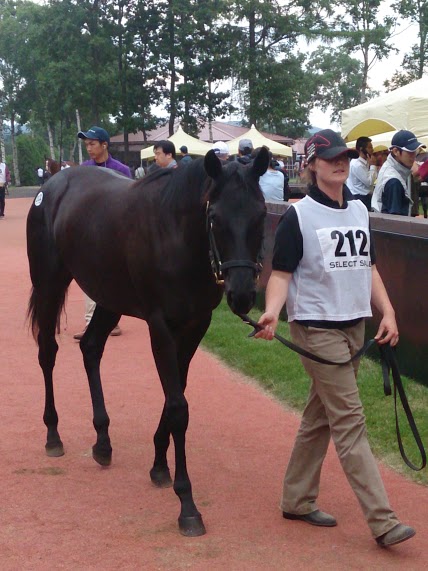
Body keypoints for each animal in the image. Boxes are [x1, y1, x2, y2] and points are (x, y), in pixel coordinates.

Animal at [25, 147, 268, 536]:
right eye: (215, 217)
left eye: (261, 214)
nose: (243, 294)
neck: (177, 236)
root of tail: (53, 183)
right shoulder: (161, 325)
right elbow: (178, 406)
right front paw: (187, 504)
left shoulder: (196, 325)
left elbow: (176, 394)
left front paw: (159, 464)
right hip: (49, 283)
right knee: (48, 353)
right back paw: (53, 435)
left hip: (108, 297)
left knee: (91, 348)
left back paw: (103, 441)